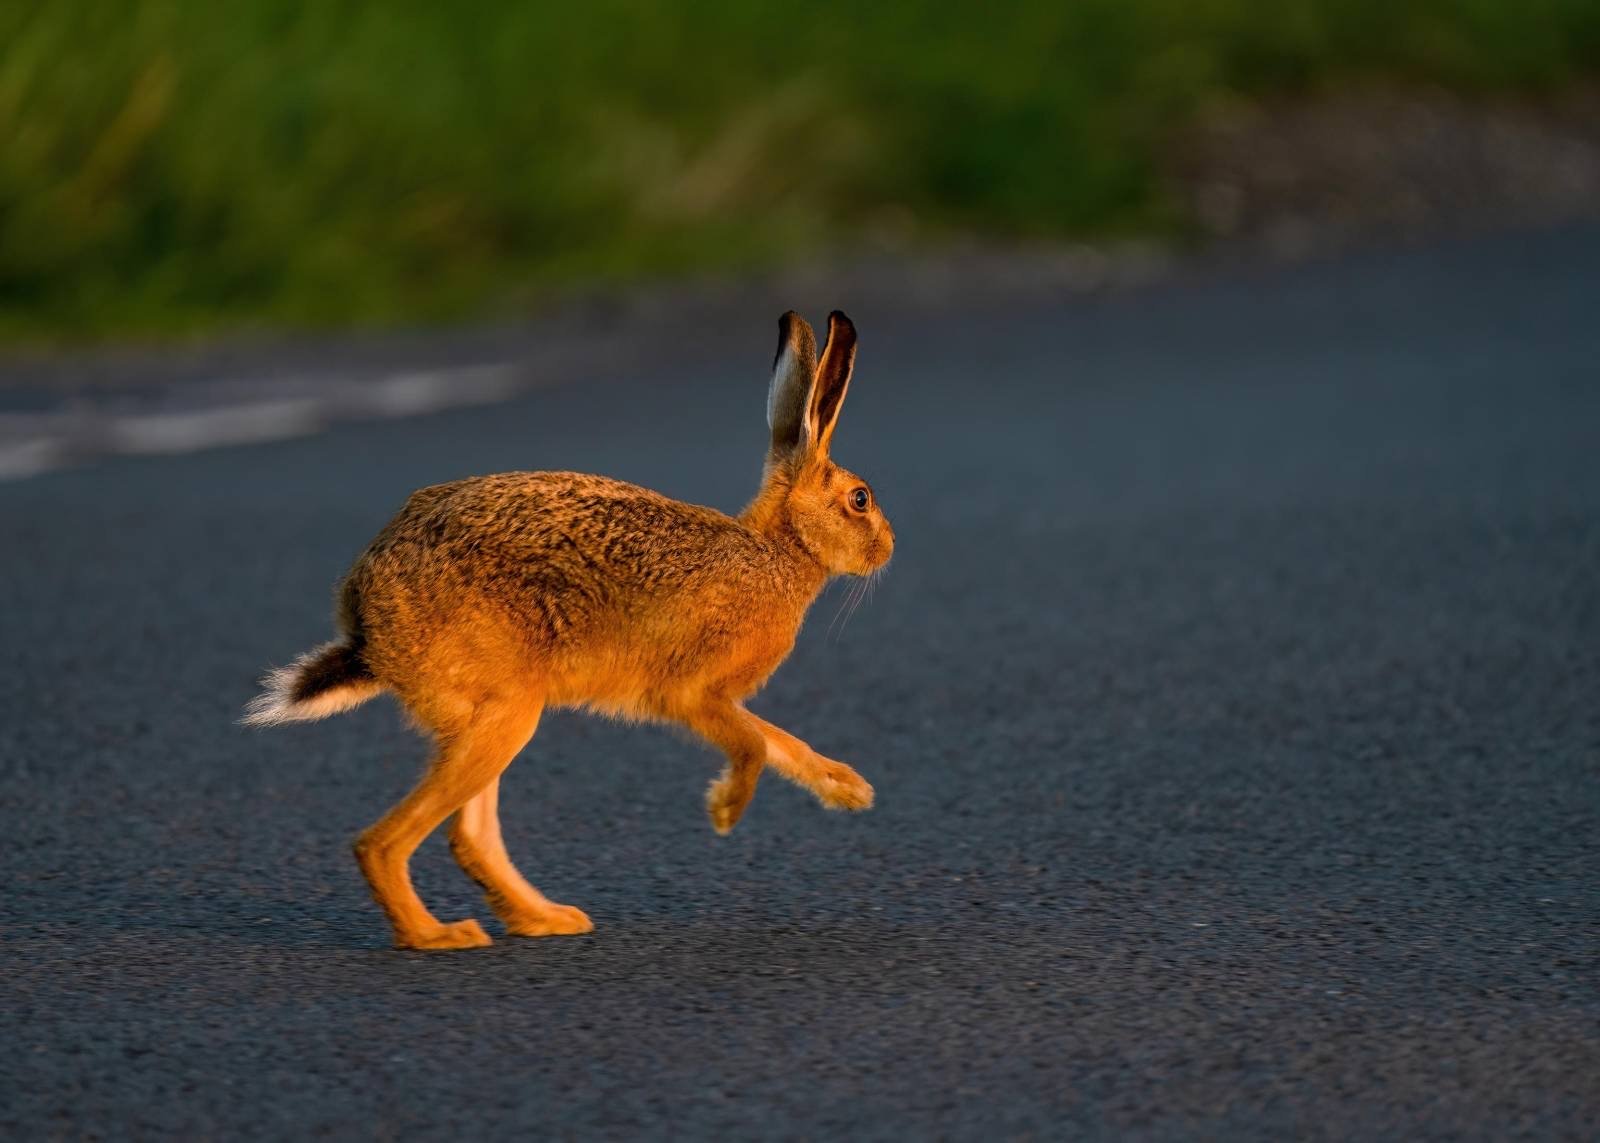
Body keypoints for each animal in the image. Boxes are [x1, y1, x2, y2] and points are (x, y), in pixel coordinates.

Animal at [242, 310, 893, 950]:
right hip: (506, 711)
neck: (779, 554)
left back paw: (546, 919)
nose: (887, 548)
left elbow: (779, 740)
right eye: (860, 499)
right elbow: (754, 744)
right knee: (383, 842)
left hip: (490, 718)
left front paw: (848, 789)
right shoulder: (690, 693)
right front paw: (726, 812)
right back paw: (438, 935)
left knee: (466, 836)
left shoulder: (718, 701)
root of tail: (368, 622)